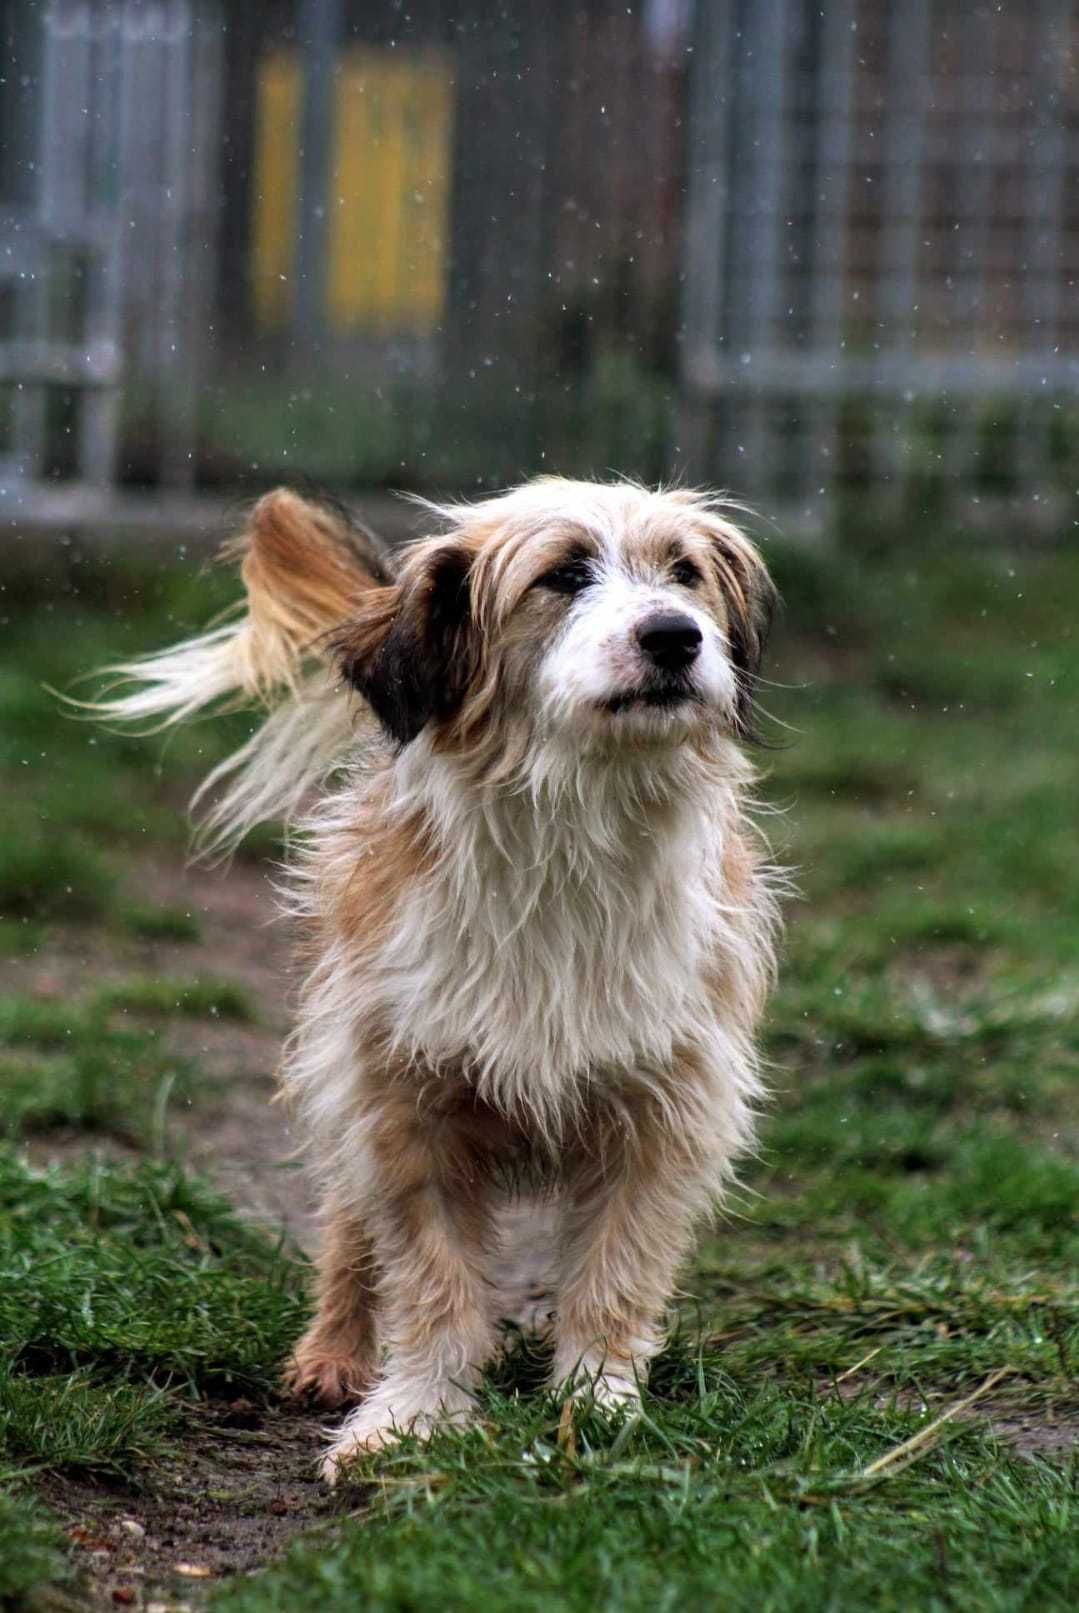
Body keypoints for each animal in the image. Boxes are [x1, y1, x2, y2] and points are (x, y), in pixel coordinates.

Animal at [92, 477, 777, 1477]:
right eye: (561, 574)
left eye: (684, 572)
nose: (674, 636)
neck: (568, 836)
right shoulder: (403, 1105)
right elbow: (430, 1278)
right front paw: (413, 1416)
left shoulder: (665, 1109)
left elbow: (614, 1273)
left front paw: (596, 1401)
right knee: (348, 1230)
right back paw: (333, 1351)